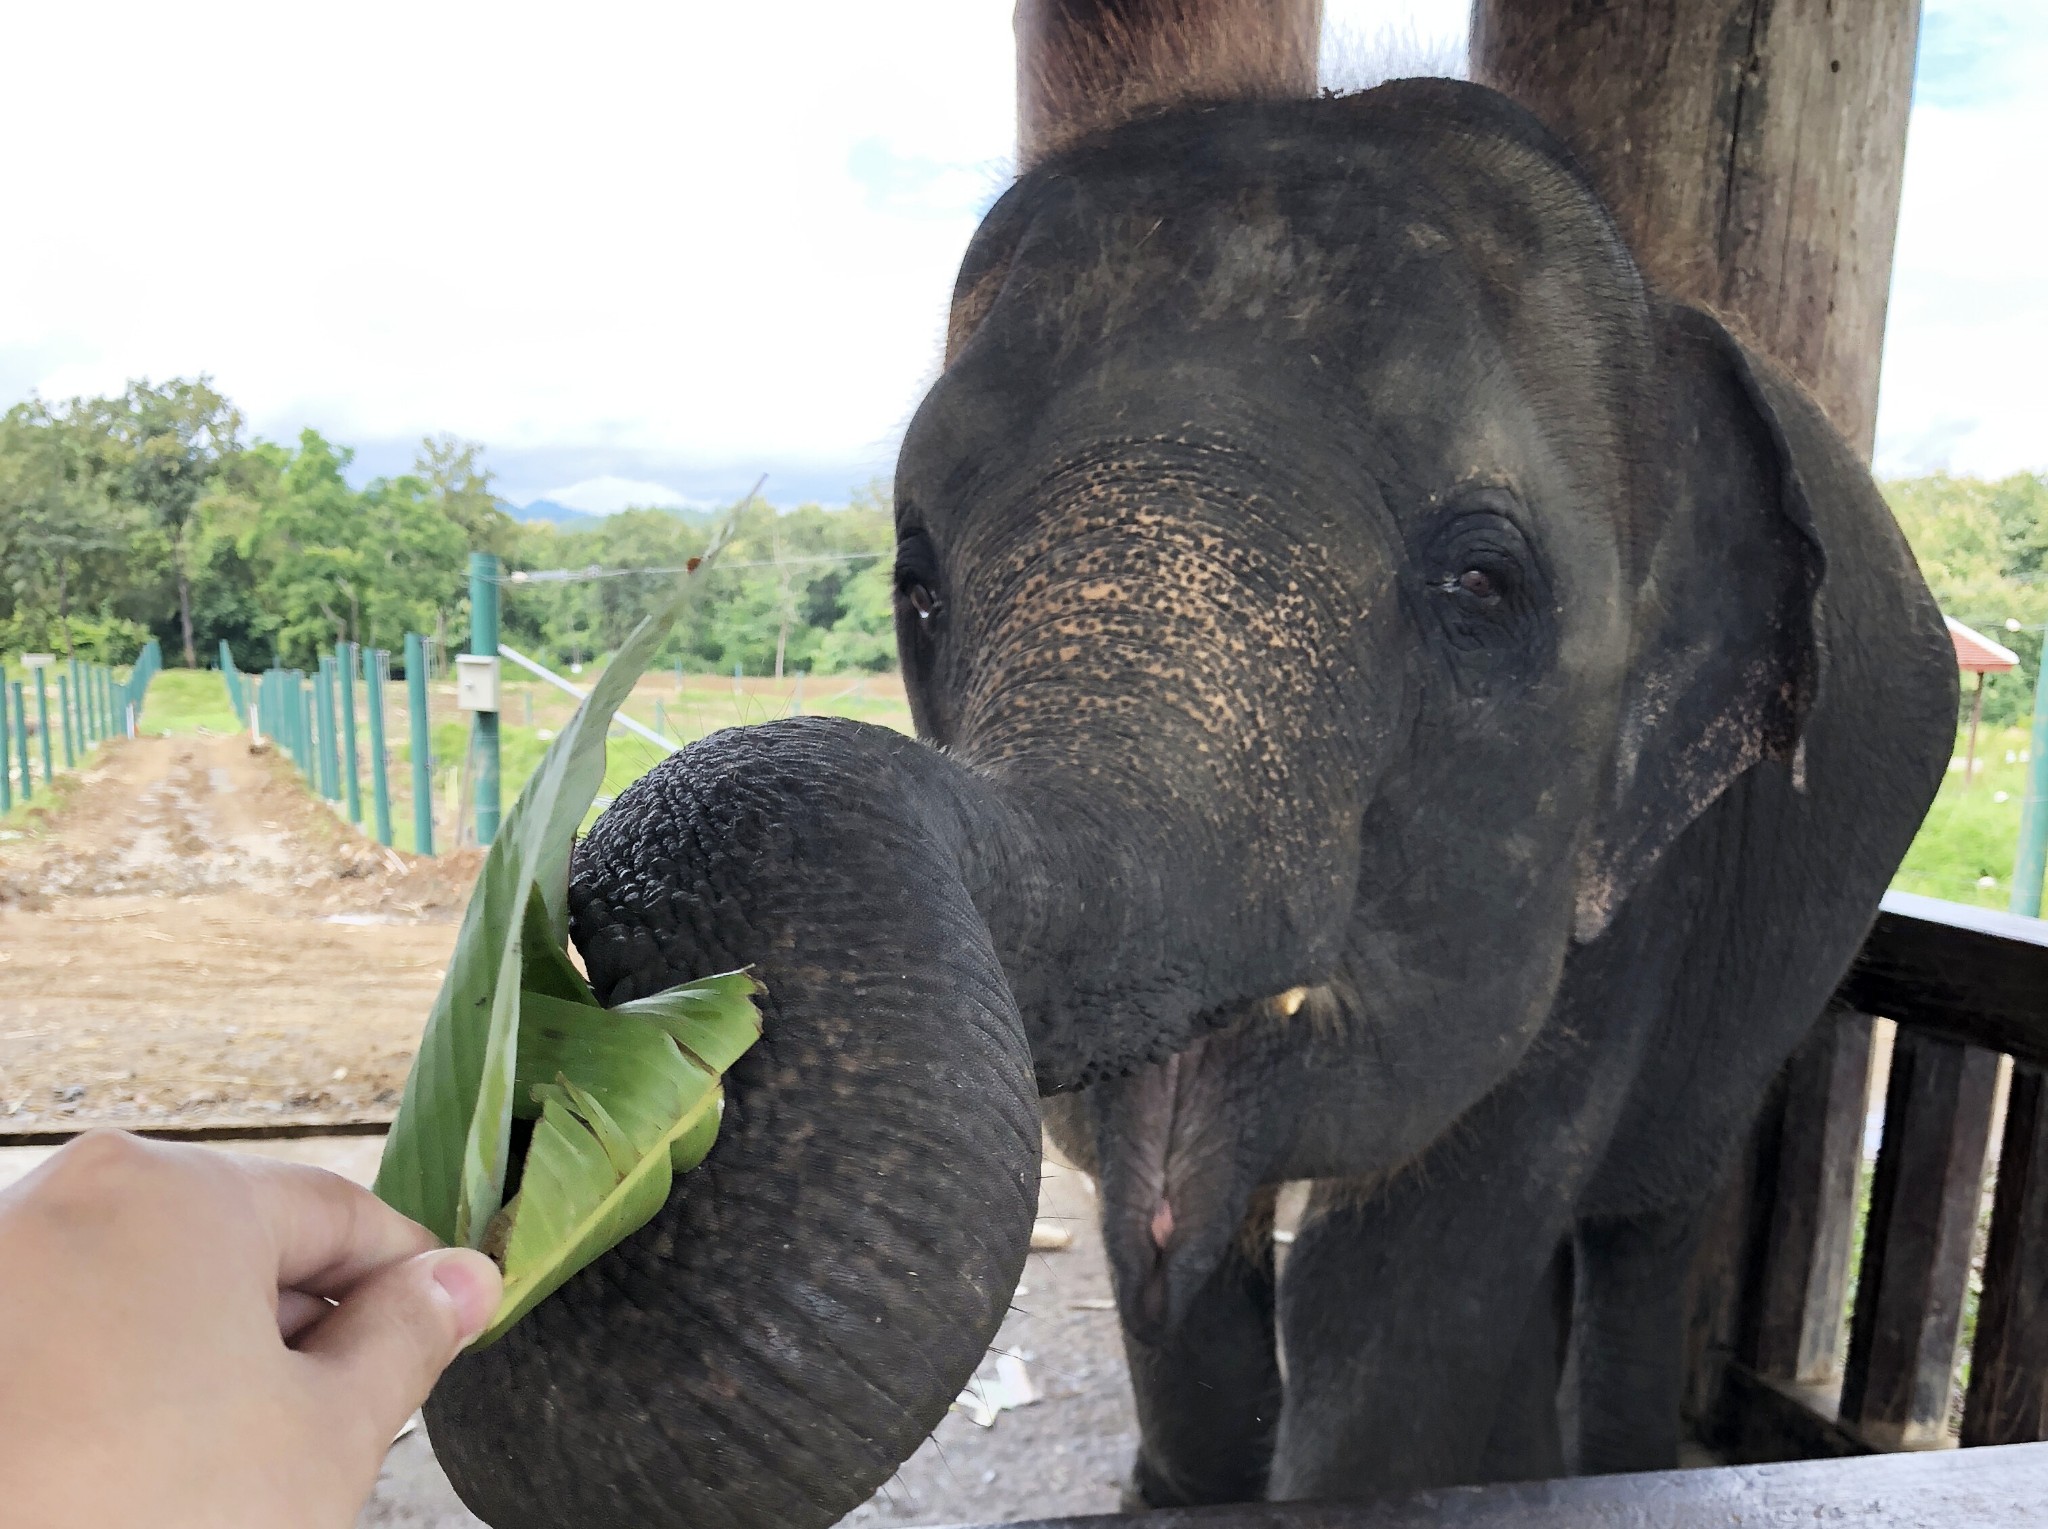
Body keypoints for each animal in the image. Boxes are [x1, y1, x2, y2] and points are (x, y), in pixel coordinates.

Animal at [423, 74, 1957, 1529]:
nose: (610, 923)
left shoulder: (1639, 878)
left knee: (1641, 1217)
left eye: (1482, 585)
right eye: (916, 583)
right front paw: (1172, 1481)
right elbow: (1139, 1192)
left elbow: (1400, 1255)